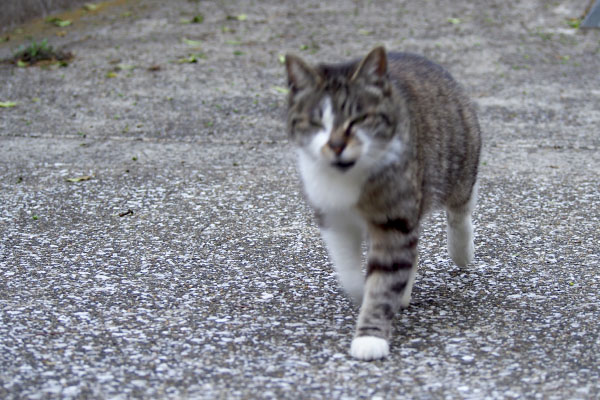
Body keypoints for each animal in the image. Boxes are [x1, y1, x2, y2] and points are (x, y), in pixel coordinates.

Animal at [284, 46, 480, 360]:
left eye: (359, 119)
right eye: (316, 123)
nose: (336, 145)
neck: (348, 176)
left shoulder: (393, 218)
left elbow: (383, 279)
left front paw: (370, 336)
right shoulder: (333, 218)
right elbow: (350, 270)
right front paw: (362, 292)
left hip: (457, 160)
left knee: (461, 207)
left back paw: (462, 250)